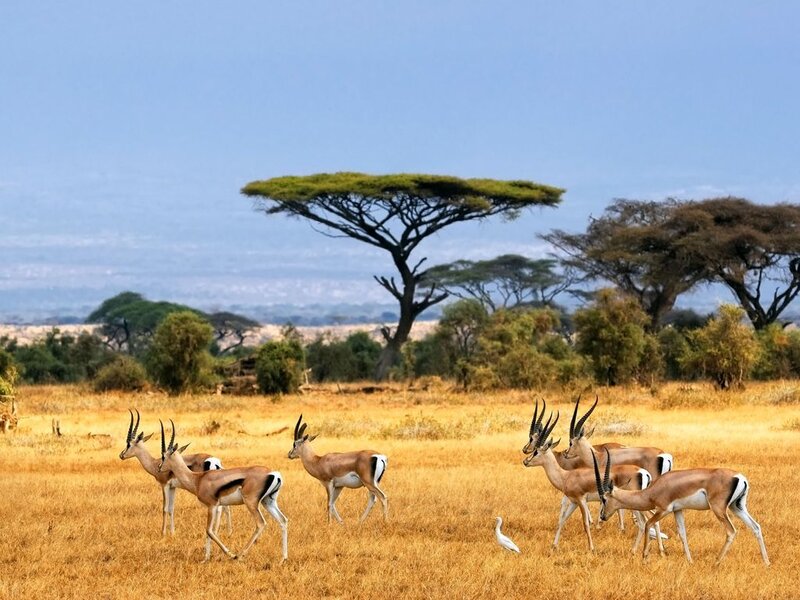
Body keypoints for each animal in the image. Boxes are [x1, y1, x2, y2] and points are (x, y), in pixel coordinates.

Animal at [157, 420, 288, 562]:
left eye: (163, 456)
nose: (159, 468)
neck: (198, 479)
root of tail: (274, 473)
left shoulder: (212, 506)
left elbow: (209, 531)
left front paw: (229, 554)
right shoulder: (214, 507)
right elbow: (209, 532)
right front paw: (206, 559)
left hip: (251, 503)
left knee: (260, 524)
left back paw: (239, 555)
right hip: (268, 502)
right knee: (283, 521)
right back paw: (283, 559)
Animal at [522, 409, 661, 552]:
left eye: (536, 452)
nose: (525, 461)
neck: (565, 476)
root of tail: (643, 472)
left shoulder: (581, 500)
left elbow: (586, 523)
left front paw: (591, 548)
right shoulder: (574, 502)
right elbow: (562, 520)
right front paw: (554, 545)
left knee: (644, 521)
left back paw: (637, 550)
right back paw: (658, 549)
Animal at [593, 449, 770, 565]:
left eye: (604, 499)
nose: (602, 516)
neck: (653, 490)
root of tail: (739, 477)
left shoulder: (664, 510)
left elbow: (649, 524)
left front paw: (644, 558)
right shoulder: (678, 510)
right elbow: (682, 533)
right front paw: (690, 561)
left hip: (719, 509)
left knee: (731, 531)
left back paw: (716, 562)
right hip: (737, 507)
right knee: (756, 527)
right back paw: (766, 562)